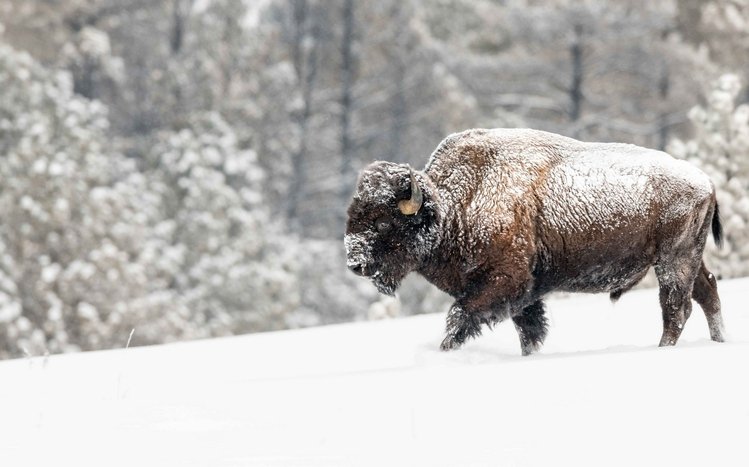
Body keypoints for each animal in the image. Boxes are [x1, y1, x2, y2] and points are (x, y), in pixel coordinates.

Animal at [344, 128, 725, 355]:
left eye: (383, 221)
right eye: (353, 214)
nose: (355, 263)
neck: (455, 204)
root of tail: (705, 180)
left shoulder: (504, 281)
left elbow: (460, 317)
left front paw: (445, 350)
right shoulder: (524, 295)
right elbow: (529, 331)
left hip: (673, 261)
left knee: (676, 308)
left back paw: (665, 348)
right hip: (688, 259)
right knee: (706, 292)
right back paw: (719, 341)